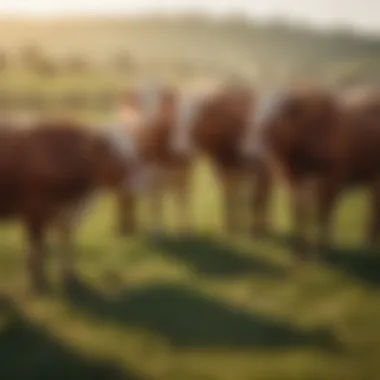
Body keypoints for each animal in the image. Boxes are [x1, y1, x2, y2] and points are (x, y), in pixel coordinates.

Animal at [0, 119, 153, 294]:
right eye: (115, 156)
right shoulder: (34, 214)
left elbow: (66, 243)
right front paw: (38, 282)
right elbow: (37, 250)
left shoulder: (65, 216)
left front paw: (70, 278)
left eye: (134, 153)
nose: (146, 179)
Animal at [242, 84, 378, 260]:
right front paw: (298, 249)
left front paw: (322, 250)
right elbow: (300, 213)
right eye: (254, 119)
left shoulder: (331, 183)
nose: (247, 150)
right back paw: (367, 245)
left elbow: (323, 216)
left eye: (273, 120)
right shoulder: (297, 183)